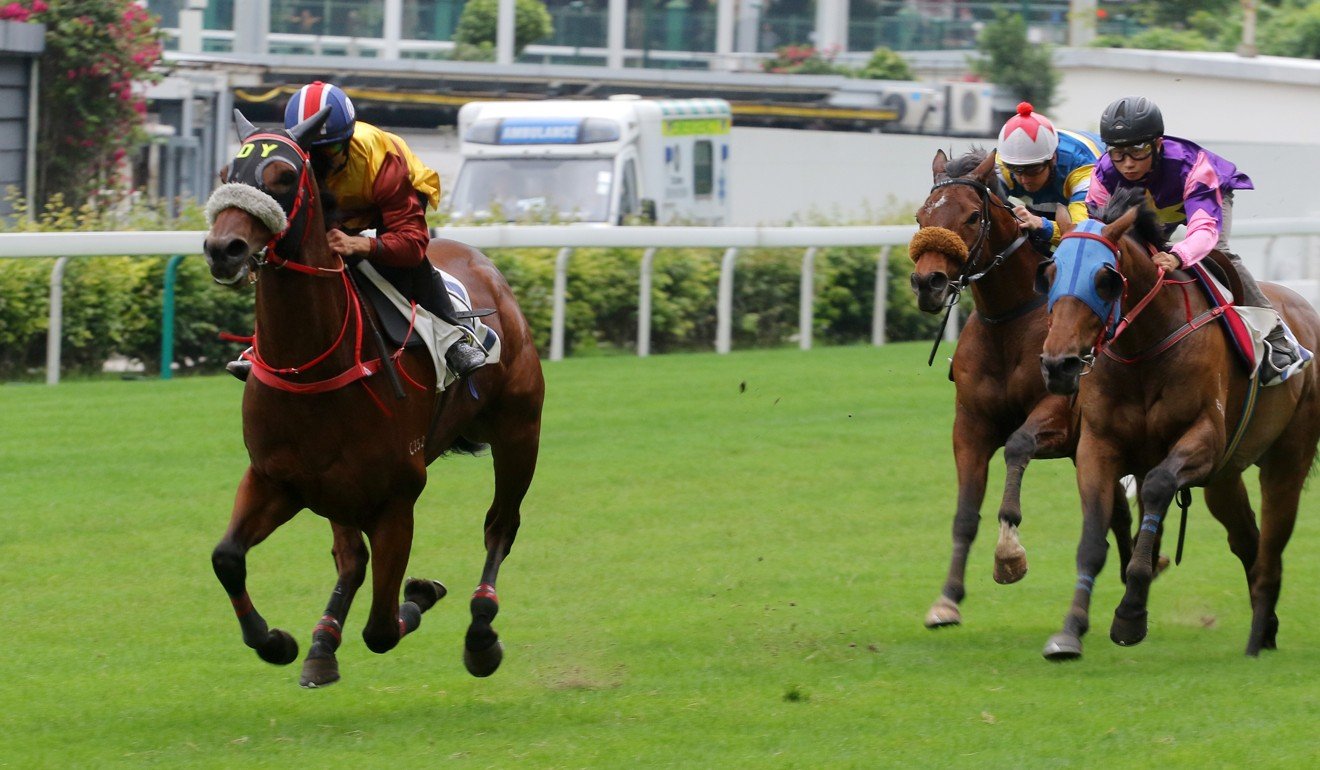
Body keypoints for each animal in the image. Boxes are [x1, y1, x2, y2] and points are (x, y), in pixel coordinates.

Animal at [200, 108, 541, 686]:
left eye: (284, 176)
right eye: (227, 171)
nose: (224, 249)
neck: (315, 361)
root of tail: (484, 264)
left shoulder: (396, 498)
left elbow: (382, 627)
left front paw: (421, 593)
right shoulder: (276, 478)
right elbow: (227, 558)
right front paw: (276, 641)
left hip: (519, 432)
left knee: (500, 527)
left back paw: (481, 632)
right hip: (336, 490)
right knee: (350, 559)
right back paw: (322, 644)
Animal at [908, 151, 1135, 633]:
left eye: (973, 216)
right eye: (921, 216)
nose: (928, 283)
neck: (1007, 324)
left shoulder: (1057, 413)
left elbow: (1018, 445)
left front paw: (1009, 555)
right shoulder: (970, 426)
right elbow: (965, 514)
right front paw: (947, 599)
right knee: (1118, 512)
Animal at [1040, 188, 1320, 663]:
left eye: (1105, 279)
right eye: (1051, 271)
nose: (1059, 364)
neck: (1142, 349)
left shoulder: (1204, 437)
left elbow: (1155, 487)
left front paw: (1130, 614)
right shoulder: (1098, 445)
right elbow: (1094, 535)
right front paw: (1070, 630)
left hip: (1287, 459)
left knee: (1270, 545)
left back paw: (1256, 638)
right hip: (1225, 479)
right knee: (1247, 539)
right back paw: (1266, 629)